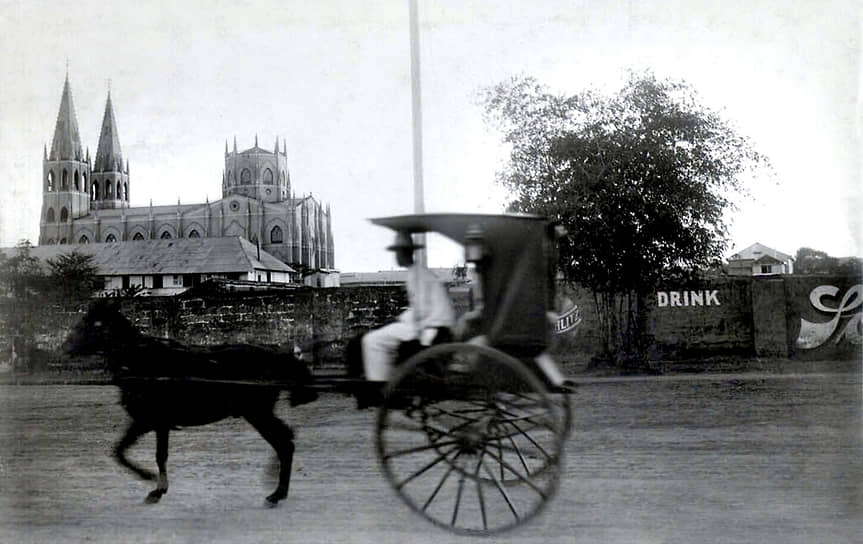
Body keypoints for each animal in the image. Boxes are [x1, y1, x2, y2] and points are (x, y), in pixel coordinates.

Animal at [64, 298, 318, 506]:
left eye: (96, 324)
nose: (66, 347)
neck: (143, 360)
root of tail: (277, 356)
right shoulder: (151, 423)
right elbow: (127, 451)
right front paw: (156, 485)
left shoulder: (152, 421)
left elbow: (143, 454)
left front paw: (152, 483)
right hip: (259, 413)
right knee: (286, 439)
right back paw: (276, 485)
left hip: (257, 413)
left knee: (284, 443)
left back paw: (277, 493)